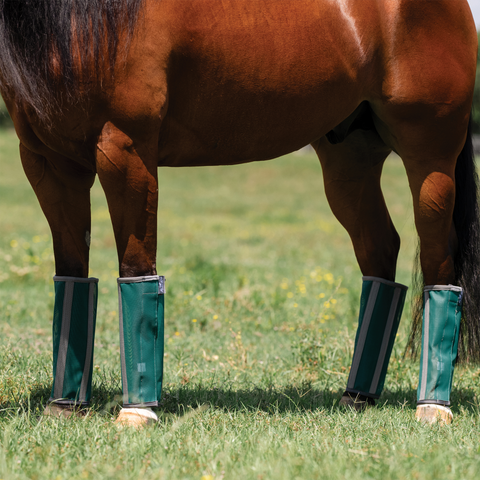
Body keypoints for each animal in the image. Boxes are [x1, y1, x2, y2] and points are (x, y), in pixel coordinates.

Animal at [0, 0, 478, 428]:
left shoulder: (126, 149)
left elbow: (136, 270)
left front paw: (137, 412)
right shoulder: (48, 163)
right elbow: (71, 276)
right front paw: (63, 406)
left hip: (430, 154)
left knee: (438, 261)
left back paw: (433, 406)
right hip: (350, 157)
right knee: (381, 251)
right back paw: (357, 396)